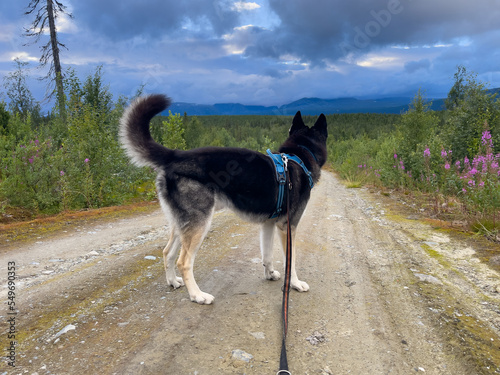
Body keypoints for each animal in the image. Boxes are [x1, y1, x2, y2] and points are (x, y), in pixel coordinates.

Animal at [119, 94, 326, 306]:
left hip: (181, 223)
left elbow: (267, 255)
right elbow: (290, 262)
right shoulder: (288, 227)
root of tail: (175, 155)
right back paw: (197, 295)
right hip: (199, 224)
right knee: (183, 262)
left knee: (167, 252)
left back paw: (173, 282)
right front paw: (295, 283)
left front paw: (269, 274)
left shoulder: (268, 225)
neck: (298, 156)